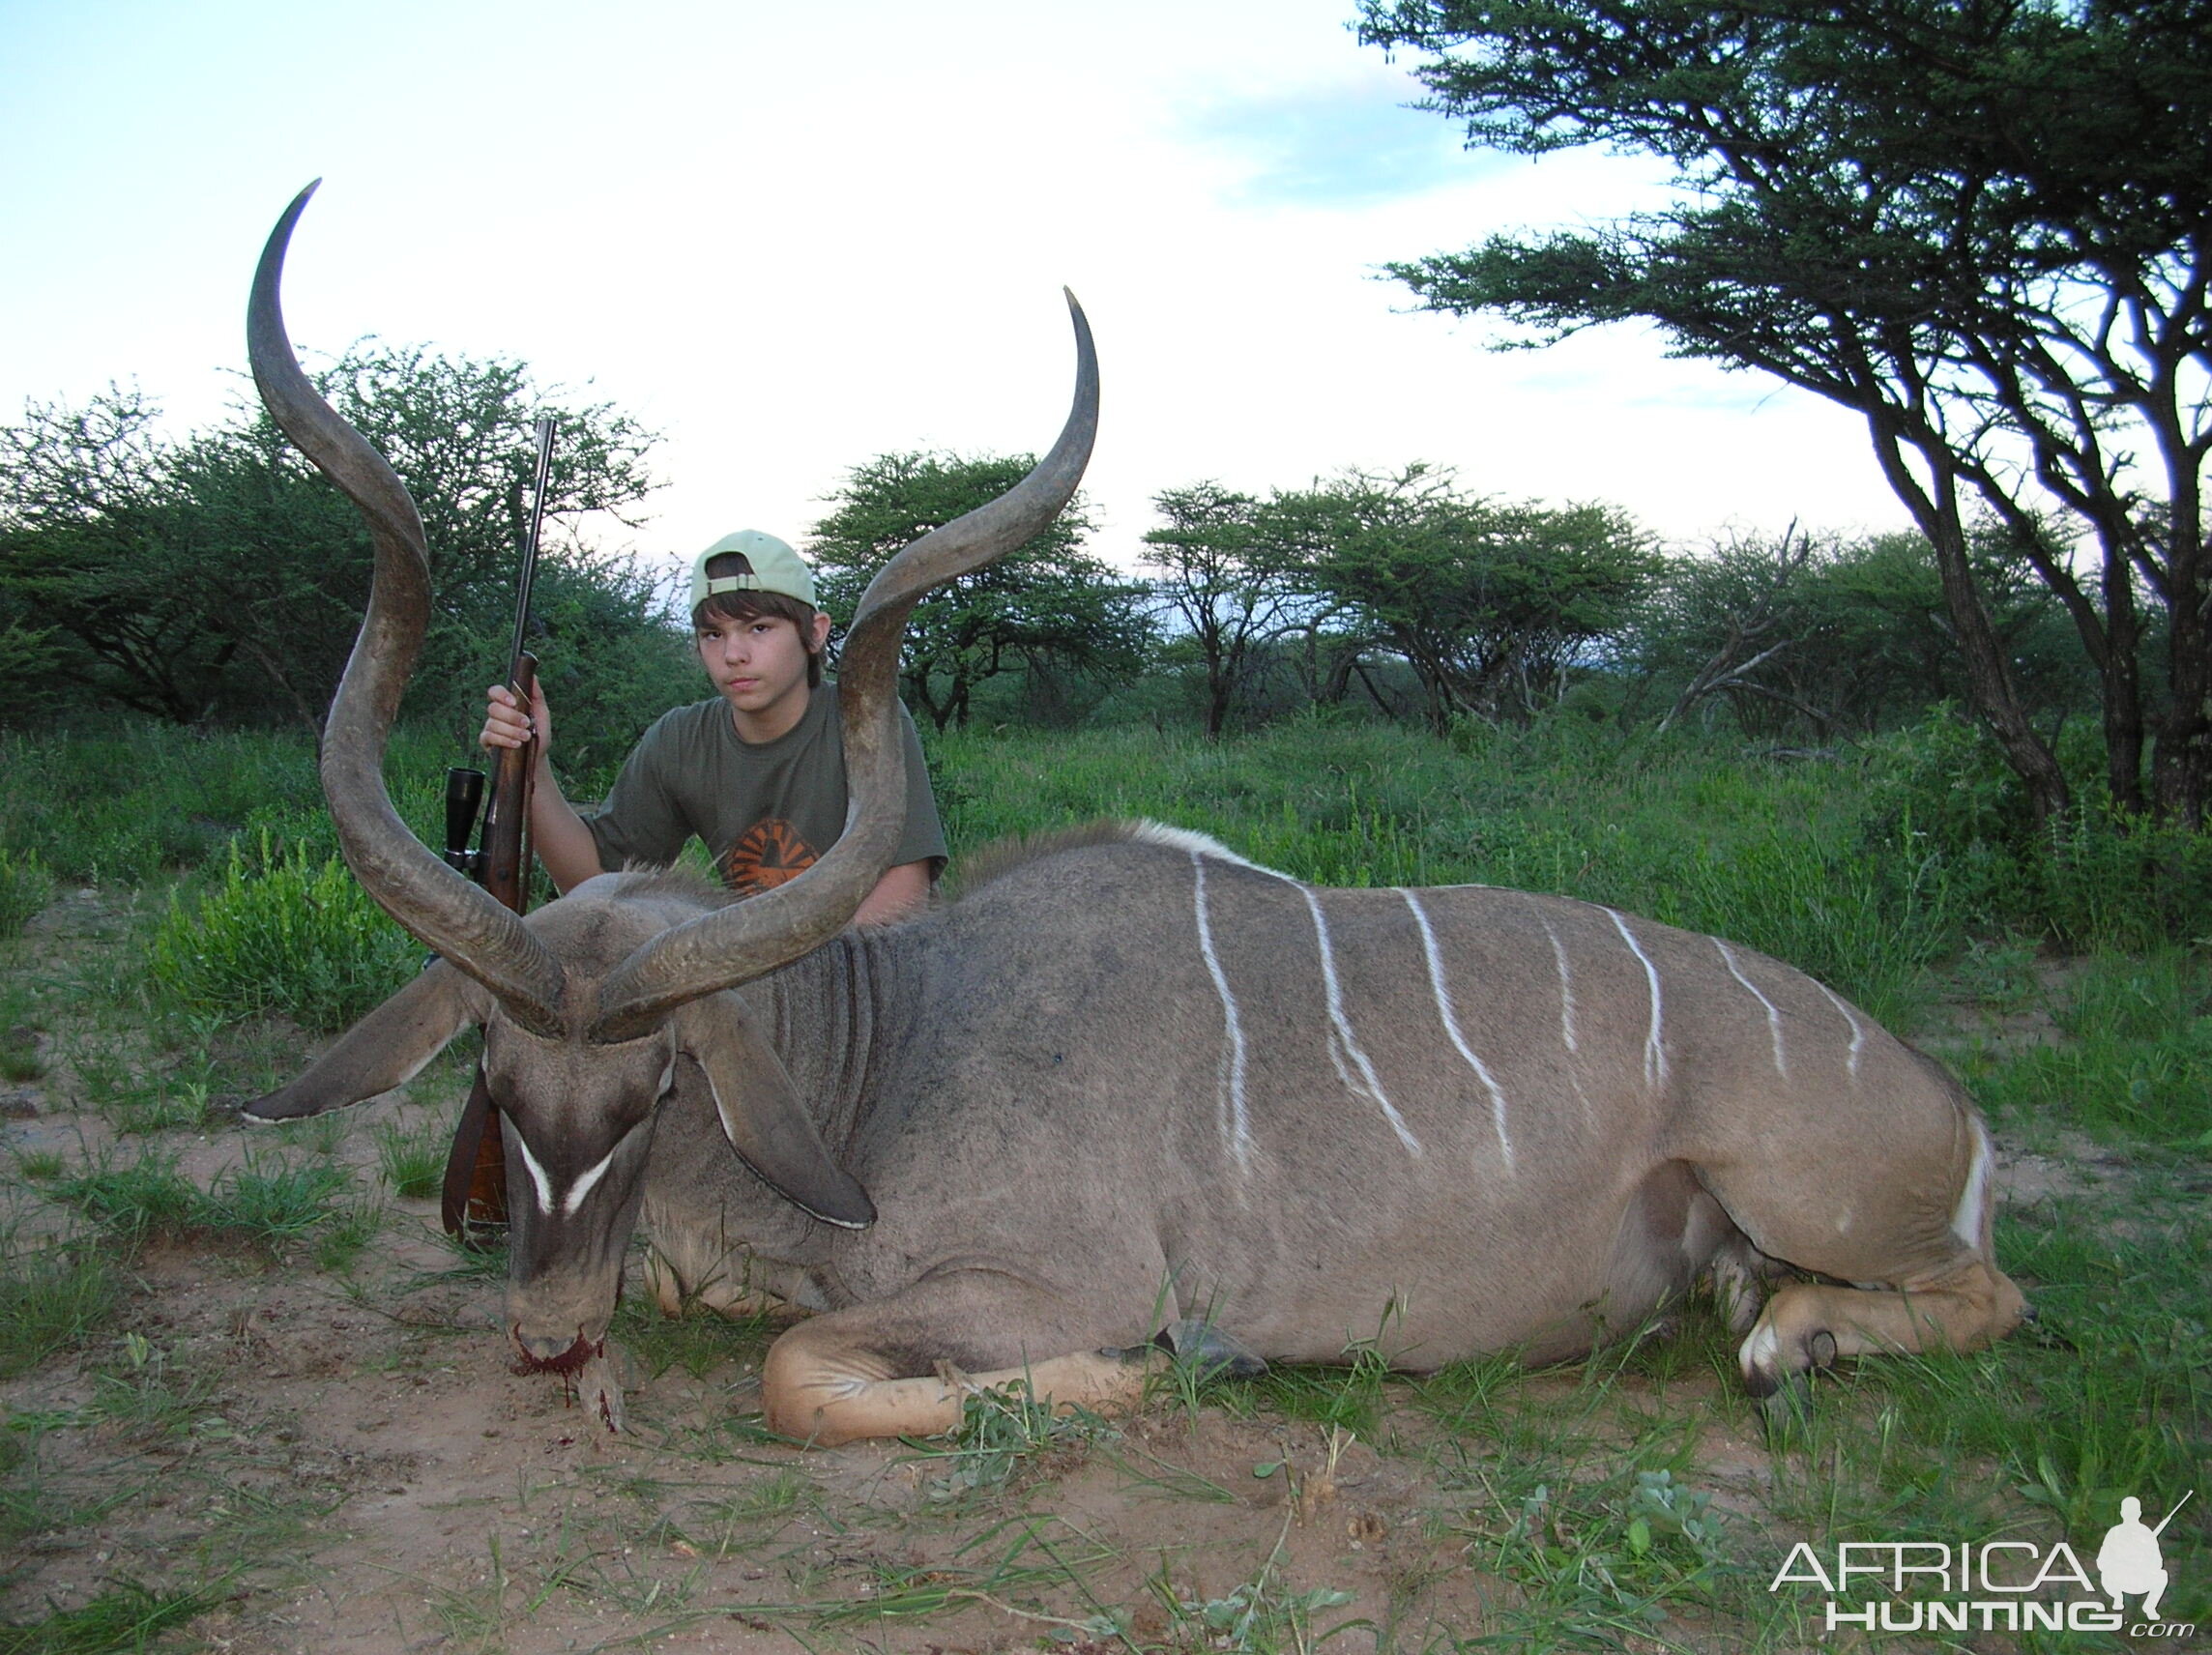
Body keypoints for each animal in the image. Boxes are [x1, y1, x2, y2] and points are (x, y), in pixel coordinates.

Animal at [242, 187, 2025, 1442]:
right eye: (491, 1073)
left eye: (662, 1084)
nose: (546, 1336)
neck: (883, 1052)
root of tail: (1951, 1106)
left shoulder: (1047, 1280)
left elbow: (803, 1373)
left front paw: (1164, 1373)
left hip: (1817, 1197)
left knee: (1986, 1296)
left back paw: (1787, 1342)